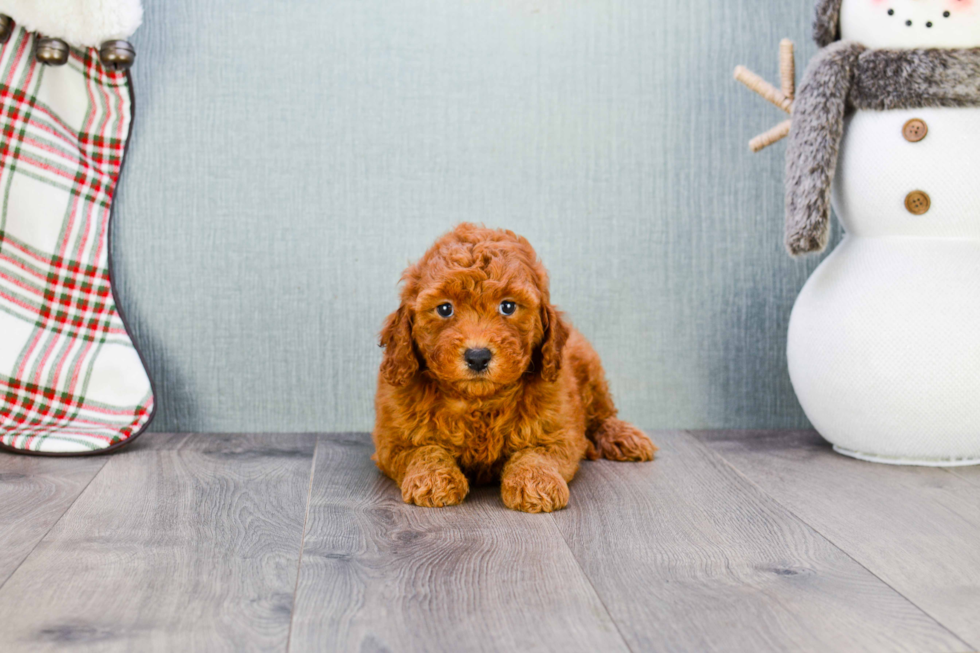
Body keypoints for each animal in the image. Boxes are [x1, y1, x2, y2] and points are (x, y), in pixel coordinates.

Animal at [372, 224, 656, 516]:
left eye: (507, 306)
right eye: (444, 308)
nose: (477, 356)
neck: (478, 403)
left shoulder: (558, 431)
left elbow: (537, 453)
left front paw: (536, 483)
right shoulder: (393, 440)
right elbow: (423, 450)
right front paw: (432, 479)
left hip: (591, 372)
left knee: (602, 413)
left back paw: (625, 437)